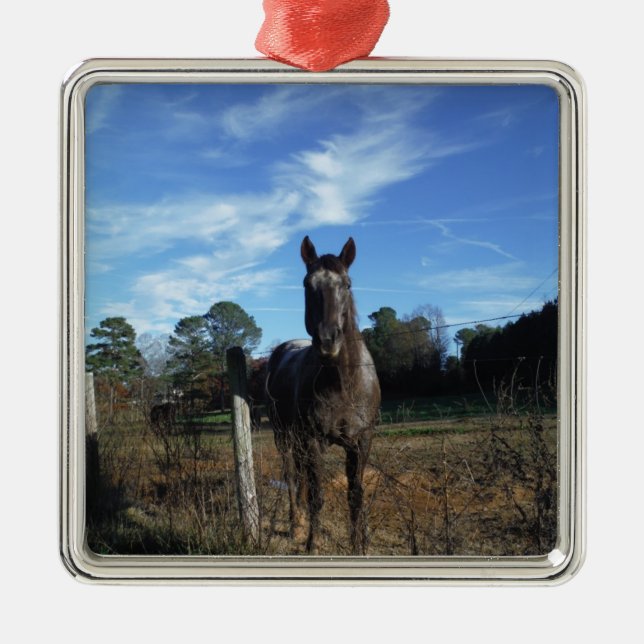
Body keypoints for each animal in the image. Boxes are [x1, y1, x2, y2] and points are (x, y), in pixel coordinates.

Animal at [265, 236, 381, 554]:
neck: (344, 384)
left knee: (301, 476)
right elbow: (317, 496)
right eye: (307, 284)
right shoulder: (314, 441)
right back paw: (296, 524)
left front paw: (358, 546)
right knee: (293, 476)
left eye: (347, 284)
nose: (328, 340)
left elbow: (355, 495)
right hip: (284, 436)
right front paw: (312, 544)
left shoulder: (361, 442)